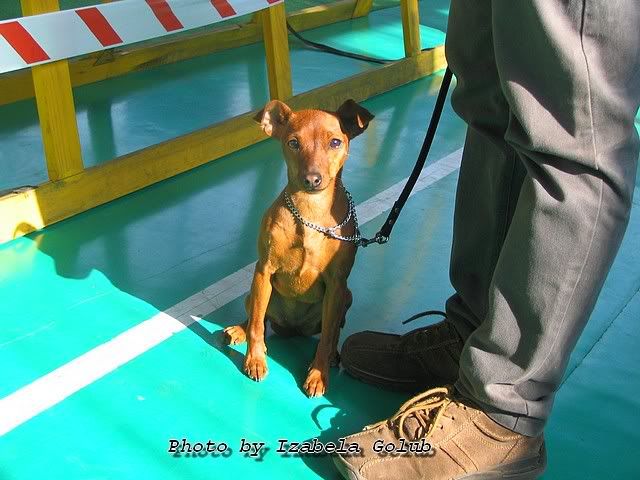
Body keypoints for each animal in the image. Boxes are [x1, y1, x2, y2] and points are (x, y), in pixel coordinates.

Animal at [224, 99, 374, 397]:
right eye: (293, 143)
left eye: (335, 142)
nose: (312, 179)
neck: (309, 212)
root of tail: (292, 329)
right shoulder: (263, 271)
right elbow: (257, 324)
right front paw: (254, 359)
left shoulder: (337, 284)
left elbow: (326, 337)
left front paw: (318, 374)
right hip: (256, 291)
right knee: (257, 318)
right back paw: (241, 331)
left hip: (345, 298)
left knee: (331, 333)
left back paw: (331, 355)